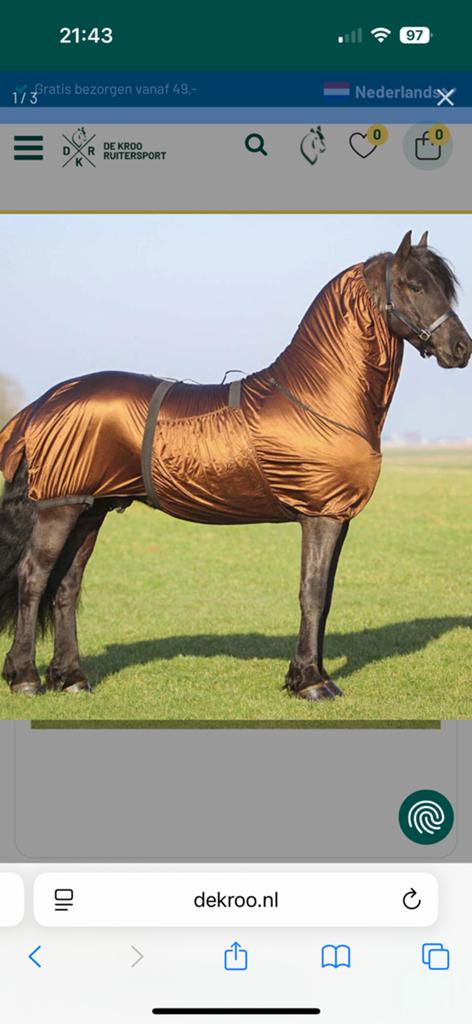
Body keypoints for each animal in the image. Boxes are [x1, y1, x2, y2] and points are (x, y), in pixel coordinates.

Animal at [0, 230, 470, 700]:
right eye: (414, 285)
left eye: (442, 287)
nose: (461, 348)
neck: (319, 398)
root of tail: (44, 403)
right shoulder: (321, 515)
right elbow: (313, 592)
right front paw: (310, 681)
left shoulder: (339, 516)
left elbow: (327, 596)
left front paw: (311, 674)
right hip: (59, 508)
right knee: (33, 577)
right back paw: (25, 678)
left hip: (89, 509)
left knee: (66, 585)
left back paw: (71, 677)